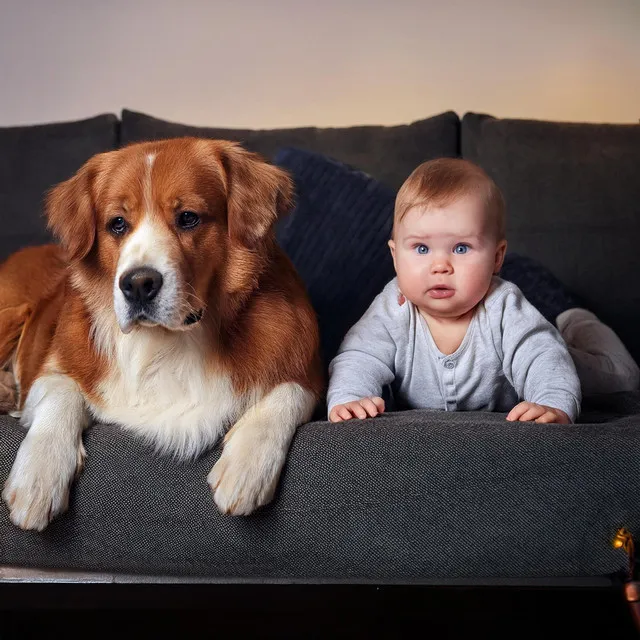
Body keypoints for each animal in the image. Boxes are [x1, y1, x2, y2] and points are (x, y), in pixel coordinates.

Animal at [0, 138, 322, 532]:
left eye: (188, 218)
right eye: (117, 224)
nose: (138, 284)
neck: (169, 342)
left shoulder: (307, 371)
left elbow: (285, 392)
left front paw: (247, 465)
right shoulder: (53, 369)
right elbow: (60, 392)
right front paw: (38, 475)